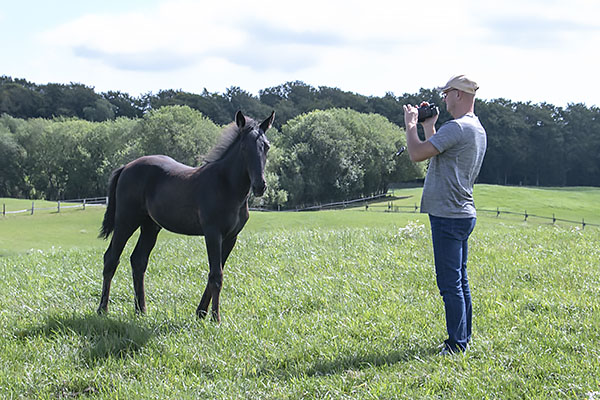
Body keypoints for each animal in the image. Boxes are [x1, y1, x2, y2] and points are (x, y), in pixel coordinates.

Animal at [98, 110, 274, 322]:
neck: (226, 186)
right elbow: (216, 275)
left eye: (266, 146)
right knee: (111, 258)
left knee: (138, 261)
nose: (260, 186)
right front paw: (215, 319)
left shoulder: (231, 237)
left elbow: (216, 272)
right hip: (126, 221)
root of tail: (125, 167)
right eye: (244, 148)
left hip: (150, 226)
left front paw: (201, 313)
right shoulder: (213, 233)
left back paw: (141, 310)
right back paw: (102, 310)